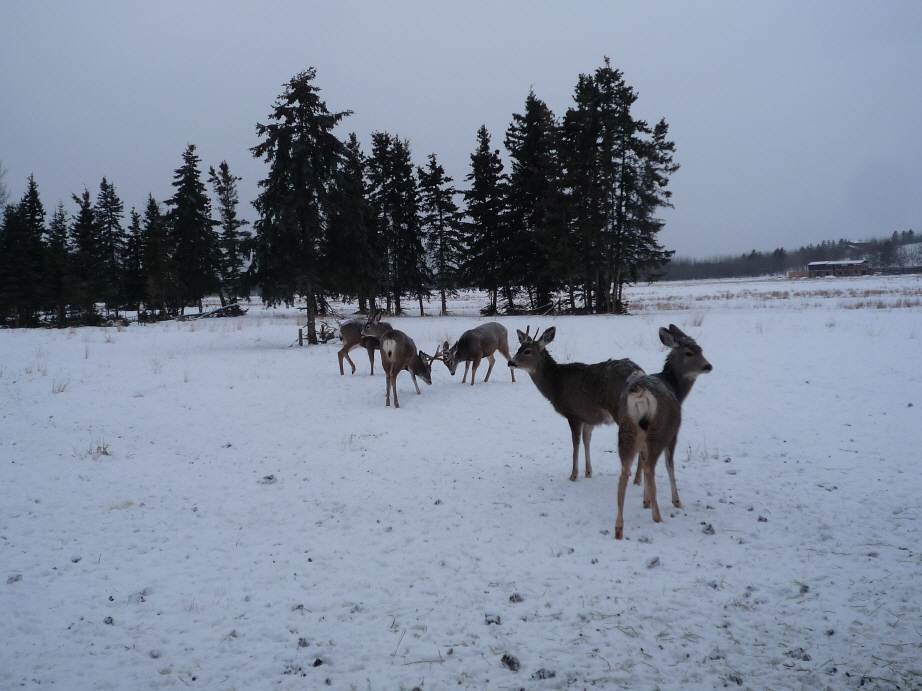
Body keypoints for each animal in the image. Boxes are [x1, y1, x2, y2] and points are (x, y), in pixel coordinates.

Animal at [506, 328, 644, 482]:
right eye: (519, 348)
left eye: (527, 351)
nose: (510, 362)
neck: (556, 384)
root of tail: (637, 373)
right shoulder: (589, 417)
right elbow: (586, 440)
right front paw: (588, 472)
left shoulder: (573, 413)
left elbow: (576, 443)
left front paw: (573, 475)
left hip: (620, 410)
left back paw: (637, 479)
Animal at [616, 324, 716, 540]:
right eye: (689, 352)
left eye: (701, 349)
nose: (708, 366)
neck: (677, 389)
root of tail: (641, 394)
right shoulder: (674, 432)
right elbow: (670, 465)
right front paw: (676, 501)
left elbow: (642, 459)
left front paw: (645, 501)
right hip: (659, 430)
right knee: (650, 468)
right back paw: (657, 516)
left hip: (627, 429)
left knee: (625, 471)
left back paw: (619, 527)